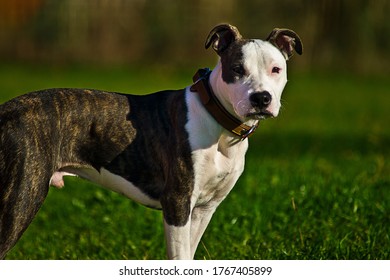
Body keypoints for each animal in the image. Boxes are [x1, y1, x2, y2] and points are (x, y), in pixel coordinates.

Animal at [0, 24, 302, 260]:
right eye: (237, 69)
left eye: (276, 69)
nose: (261, 98)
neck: (218, 123)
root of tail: (6, 111)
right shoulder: (177, 204)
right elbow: (180, 257)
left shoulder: (204, 209)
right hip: (22, 198)